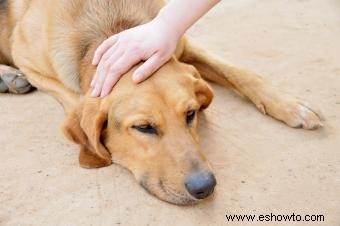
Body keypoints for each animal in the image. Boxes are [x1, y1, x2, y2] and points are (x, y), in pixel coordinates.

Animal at [0, 0, 324, 205]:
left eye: (191, 114)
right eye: (144, 127)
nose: (205, 187)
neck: (112, 27)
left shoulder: (174, 42)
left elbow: (239, 72)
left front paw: (291, 105)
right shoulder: (33, 65)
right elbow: (76, 100)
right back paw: (9, 77)